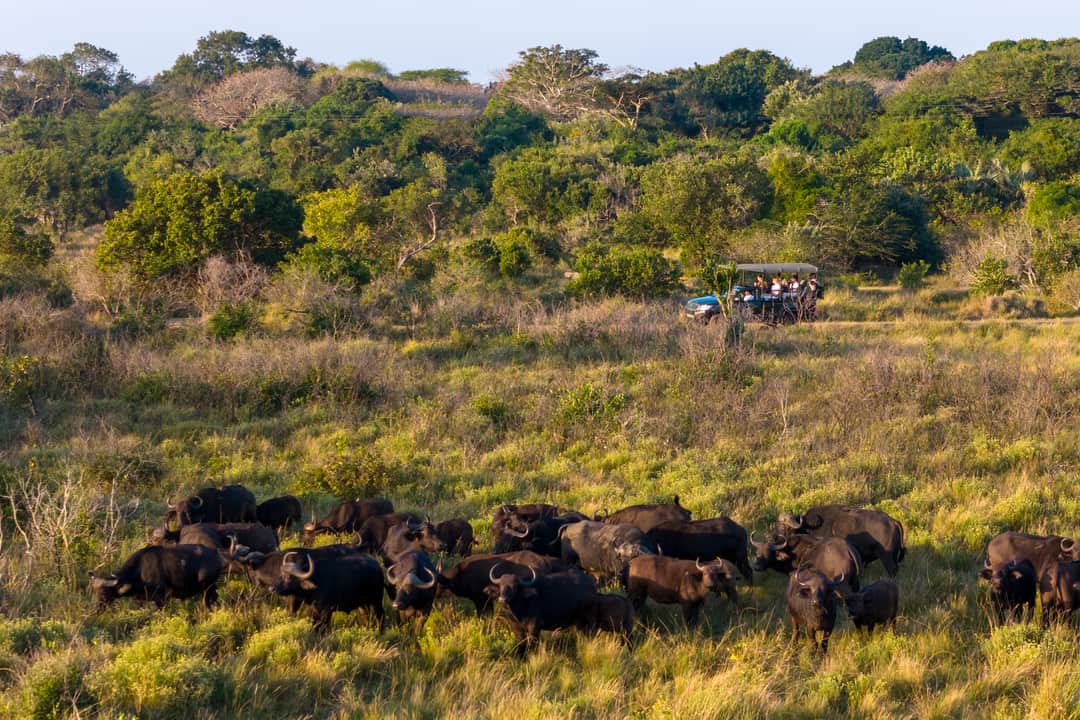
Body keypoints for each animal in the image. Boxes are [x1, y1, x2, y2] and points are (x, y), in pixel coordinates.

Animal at [90, 544, 222, 609]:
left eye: (104, 593)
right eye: (94, 592)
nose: (97, 608)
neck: (140, 570)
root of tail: (216, 555)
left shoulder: (162, 599)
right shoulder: (141, 600)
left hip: (207, 588)